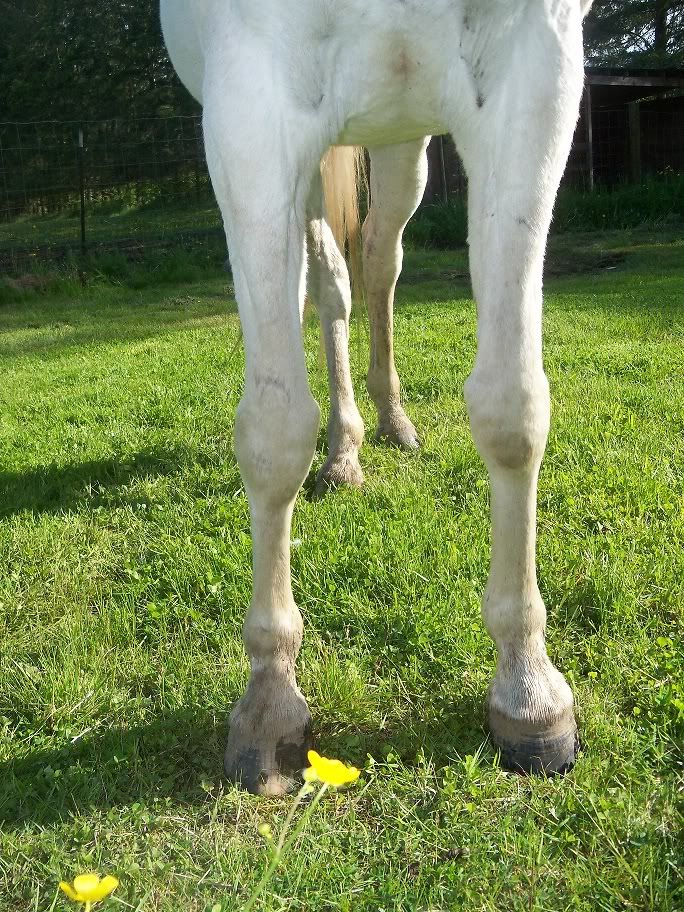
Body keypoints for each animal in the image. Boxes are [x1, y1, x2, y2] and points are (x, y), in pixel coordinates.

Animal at [160, 0, 592, 796]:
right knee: (332, 281)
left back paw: (390, 420)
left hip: (404, 136)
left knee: (380, 257)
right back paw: (344, 450)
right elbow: (273, 430)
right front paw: (269, 699)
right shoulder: (251, 101)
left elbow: (512, 406)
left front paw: (528, 689)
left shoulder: (535, 63)